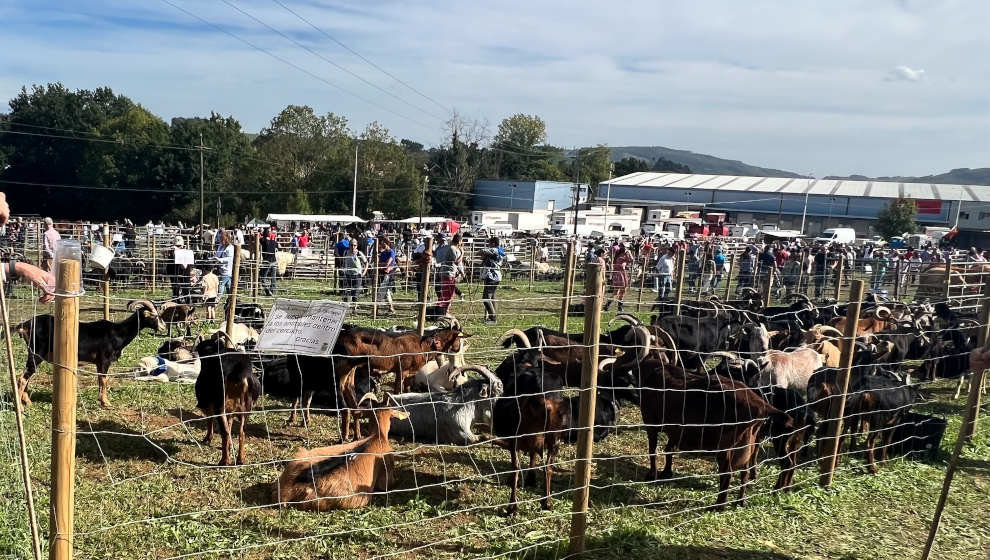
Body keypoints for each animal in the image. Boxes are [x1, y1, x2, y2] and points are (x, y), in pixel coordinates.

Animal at [15, 298, 165, 406]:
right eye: (154, 316)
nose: (163, 327)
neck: (118, 332)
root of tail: (25, 325)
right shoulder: (104, 360)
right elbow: (104, 380)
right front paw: (106, 403)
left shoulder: (98, 363)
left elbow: (100, 380)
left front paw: (101, 400)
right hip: (36, 353)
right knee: (23, 378)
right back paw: (21, 408)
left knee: (27, 375)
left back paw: (27, 402)